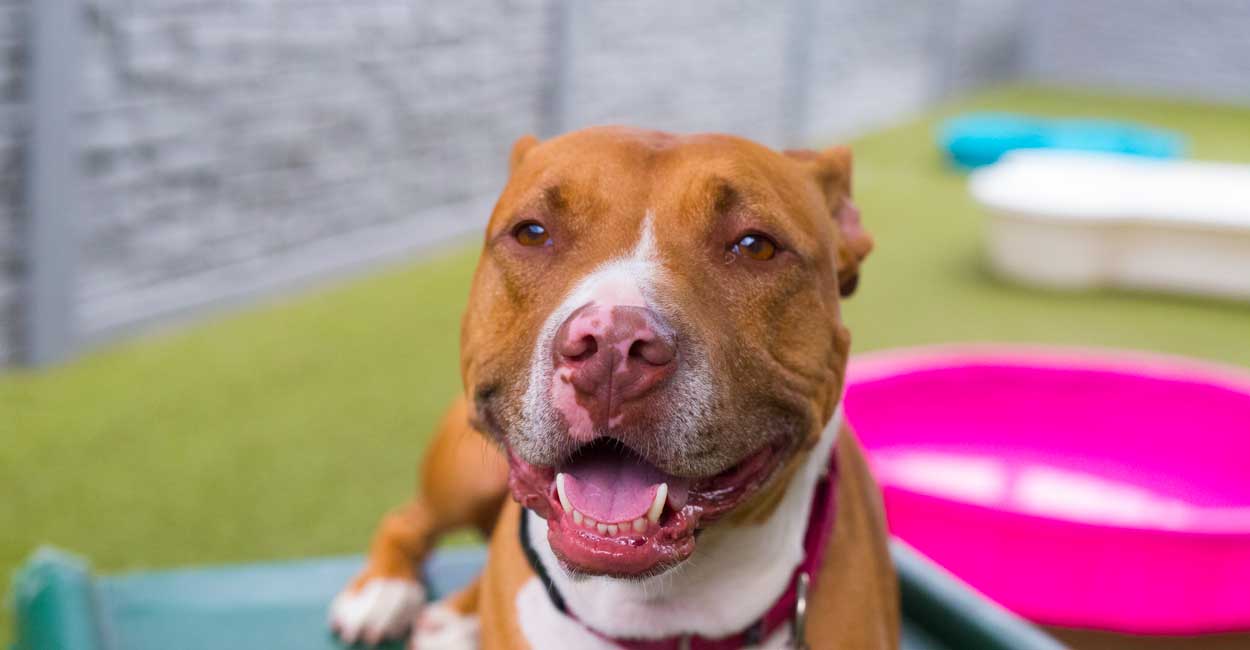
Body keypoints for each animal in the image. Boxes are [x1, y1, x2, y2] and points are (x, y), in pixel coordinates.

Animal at [332, 128, 900, 650]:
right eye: (532, 233)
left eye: (756, 246)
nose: (611, 344)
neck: (658, 614)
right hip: (465, 471)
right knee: (409, 518)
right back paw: (383, 592)